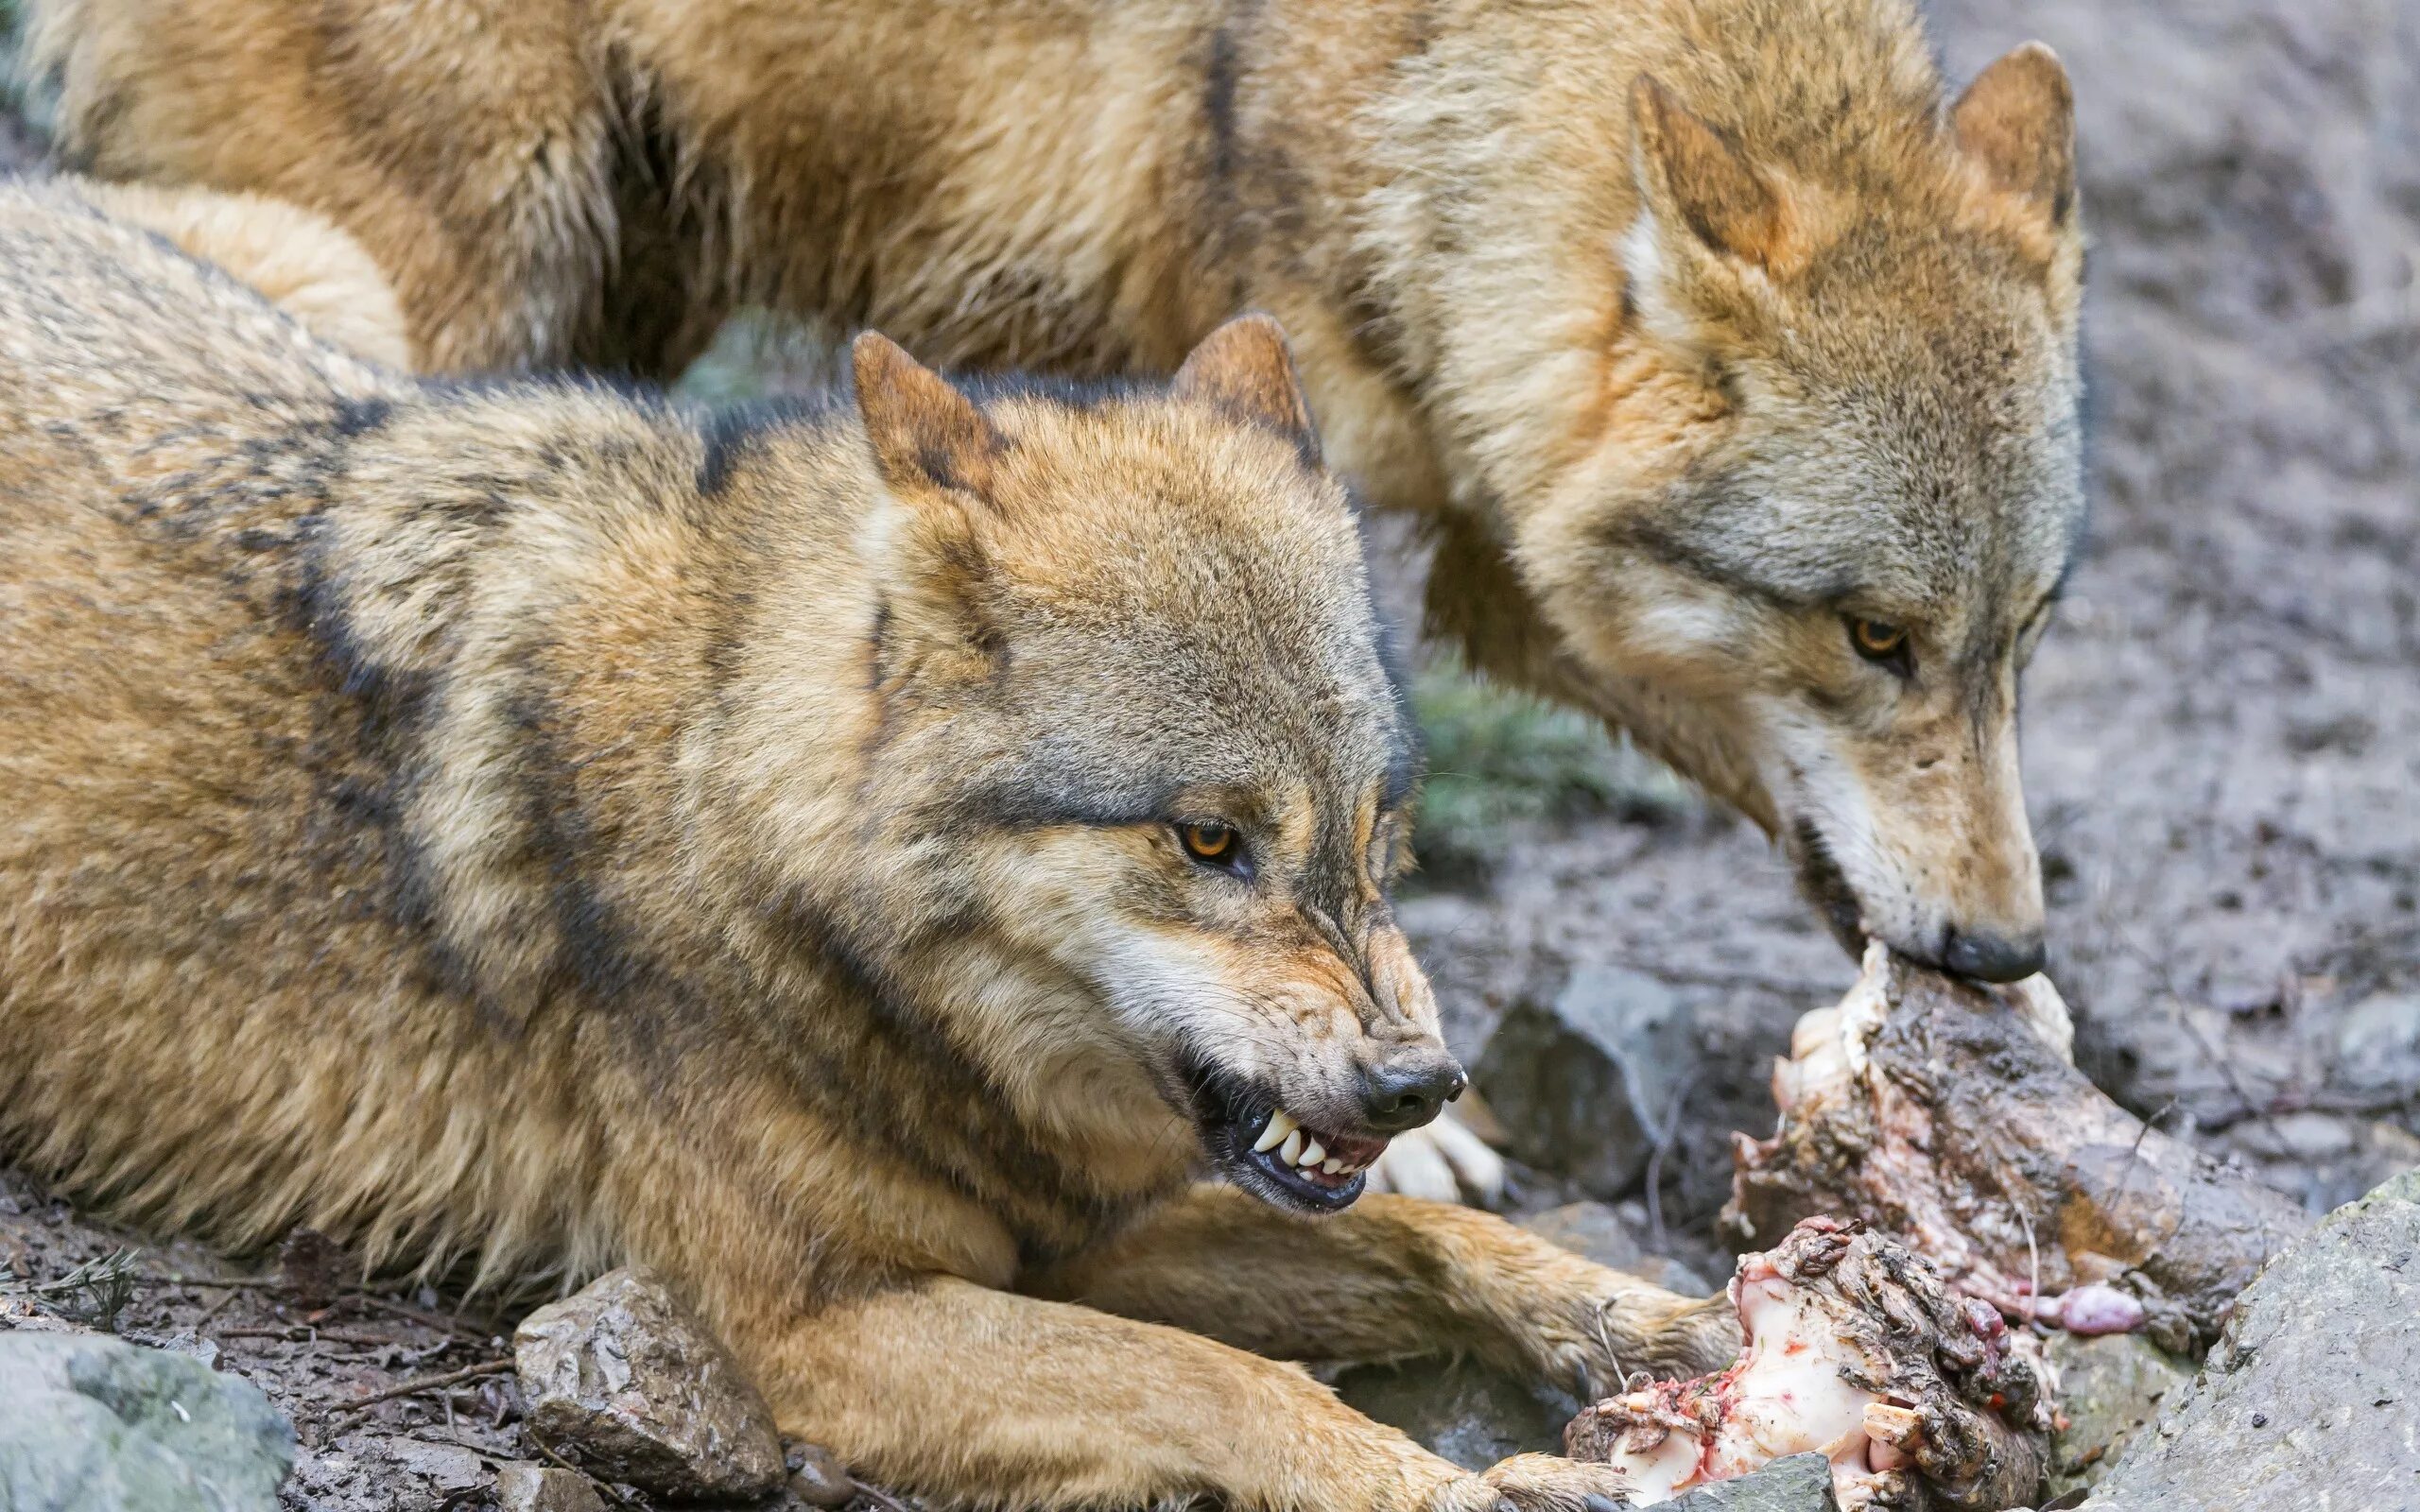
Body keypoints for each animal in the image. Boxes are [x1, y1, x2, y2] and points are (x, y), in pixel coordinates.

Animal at [0, 188, 1742, 1509]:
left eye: (1379, 830)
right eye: (1207, 839)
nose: (1415, 1082)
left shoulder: (1077, 1233)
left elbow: (1431, 1240)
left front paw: (1658, 1322)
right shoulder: (823, 1327)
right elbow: (1231, 1383)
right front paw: (1457, 1484)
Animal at [19, 0, 2090, 977]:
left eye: (2022, 636)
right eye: (1873, 634)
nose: (2006, 945)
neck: (1429, 90)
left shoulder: (1499, 553)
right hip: (451, 288)